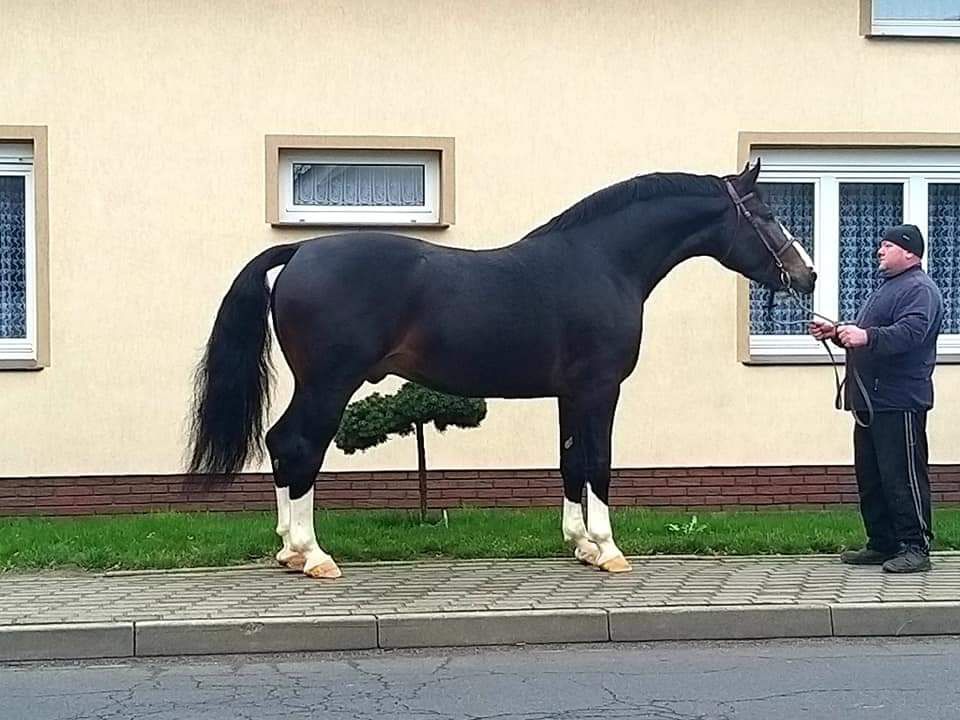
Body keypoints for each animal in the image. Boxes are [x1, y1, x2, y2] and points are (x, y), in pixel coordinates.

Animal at [189, 160, 816, 576]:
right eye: (765, 213)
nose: (806, 275)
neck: (603, 262)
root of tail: (299, 251)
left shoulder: (571, 394)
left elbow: (570, 462)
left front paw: (579, 545)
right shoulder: (600, 389)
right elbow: (599, 461)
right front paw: (609, 550)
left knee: (280, 443)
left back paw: (287, 548)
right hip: (327, 384)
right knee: (298, 445)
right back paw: (313, 555)